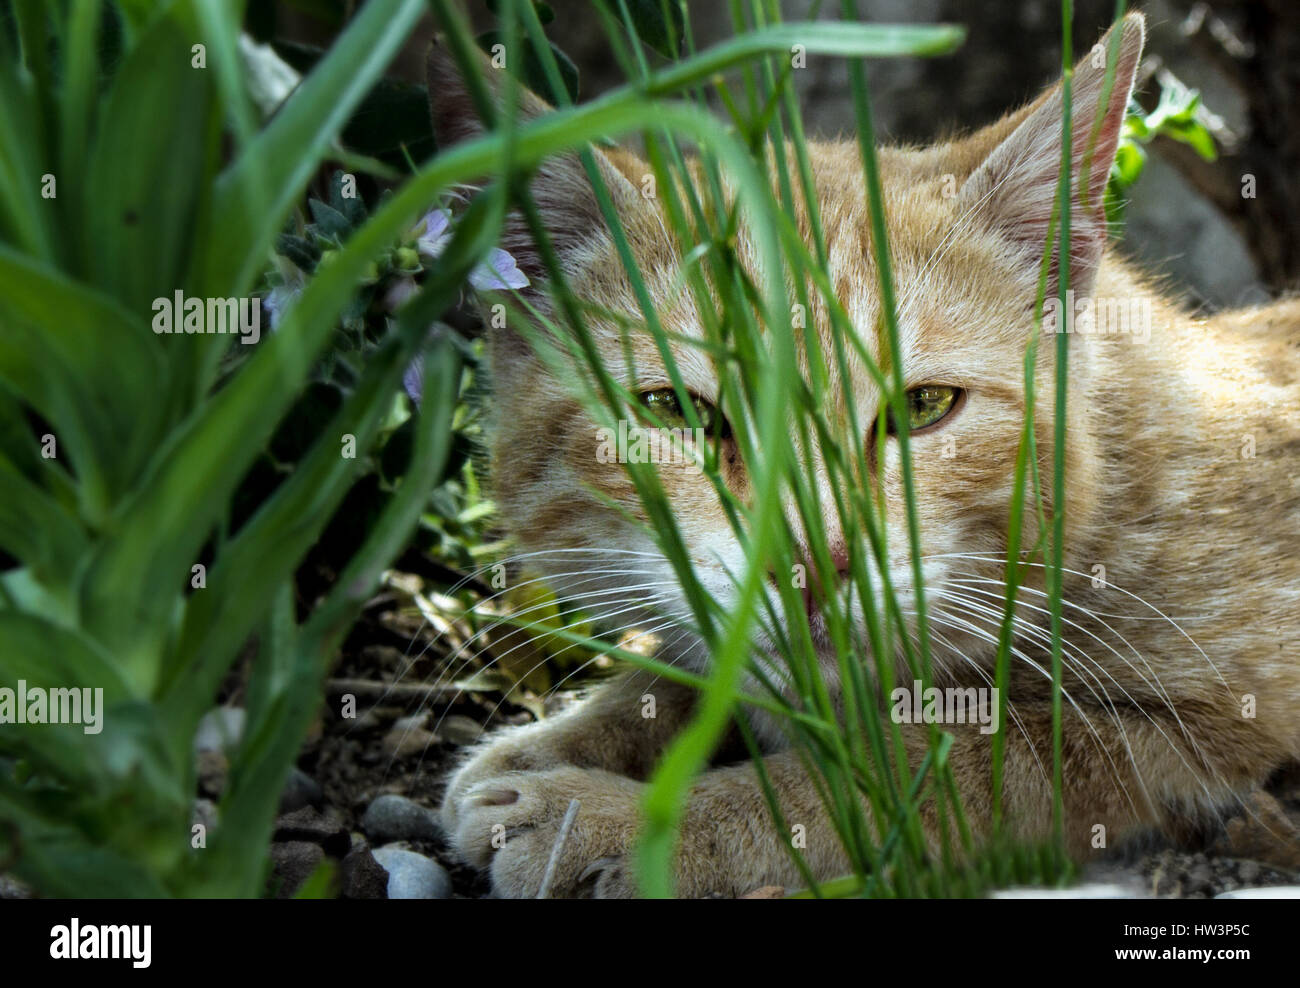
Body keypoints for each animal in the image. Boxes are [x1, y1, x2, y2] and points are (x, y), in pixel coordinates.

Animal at [426, 13, 1300, 894]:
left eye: (923, 407)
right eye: (676, 409)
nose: (810, 563)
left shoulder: (1197, 733)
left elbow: (910, 773)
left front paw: (613, 818)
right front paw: (568, 739)